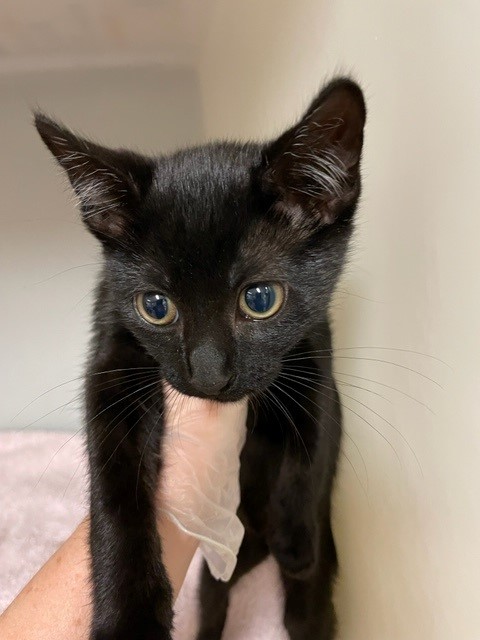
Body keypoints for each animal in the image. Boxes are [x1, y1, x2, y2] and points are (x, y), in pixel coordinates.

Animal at [35, 76, 366, 640]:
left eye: (261, 299)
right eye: (156, 307)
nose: (210, 375)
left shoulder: (313, 342)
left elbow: (317, 426)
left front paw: (298, 532)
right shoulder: (112, 358)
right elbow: (115, 489)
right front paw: (128, 615)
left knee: (305, 611)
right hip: (217, 578)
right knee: (214, 601)